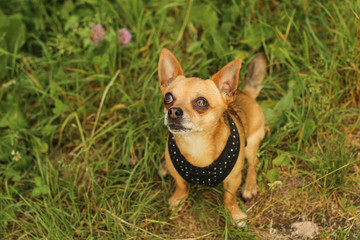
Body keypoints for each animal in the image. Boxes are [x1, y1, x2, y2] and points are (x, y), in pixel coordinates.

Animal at [158, 48, 268, 227]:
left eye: (201, 102)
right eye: (168, 98)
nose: (173, 111)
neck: (196, 144)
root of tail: (245, 94)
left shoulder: (233, 179)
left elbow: (229, 198)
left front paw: (235, 214)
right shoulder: (178, 175)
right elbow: (181, 185)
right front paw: (178, 200)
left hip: (252, 143)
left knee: (253, 164)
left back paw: (250, 186)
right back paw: (164, 167)